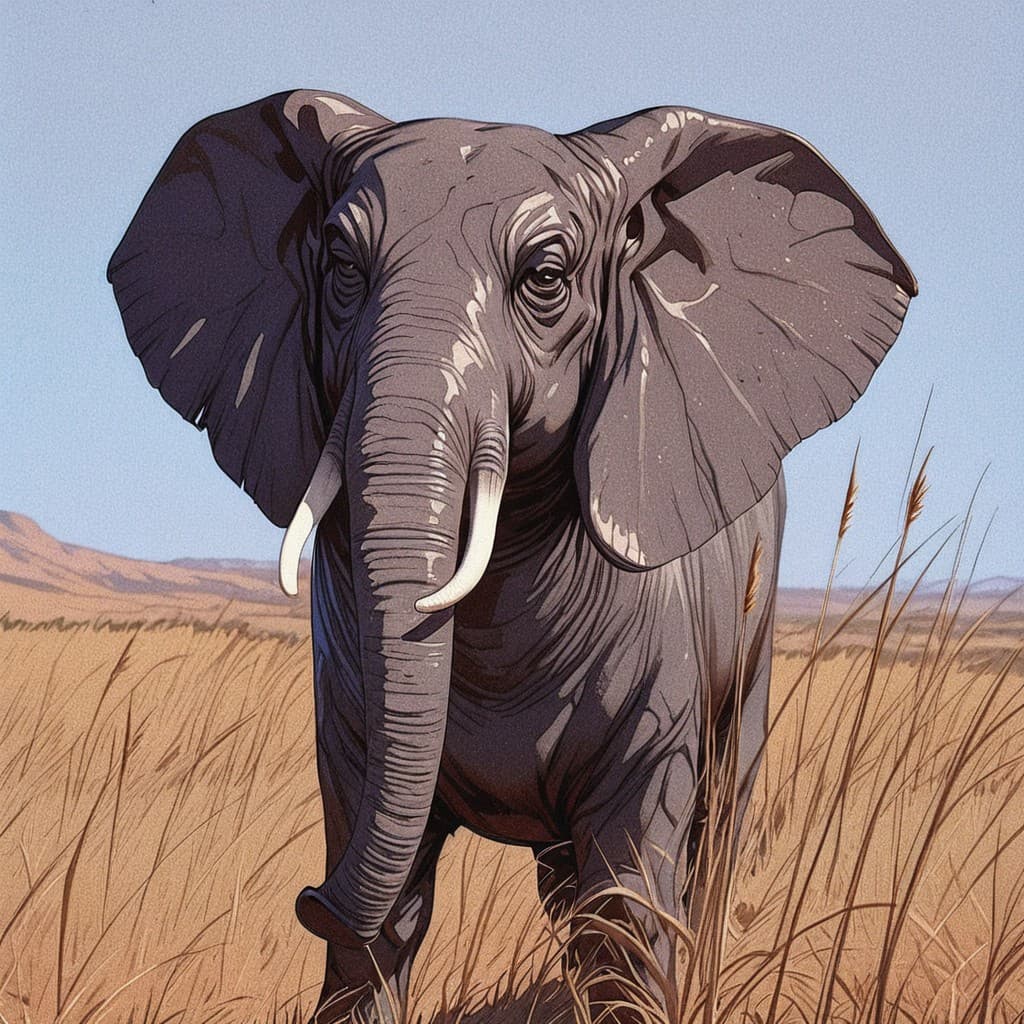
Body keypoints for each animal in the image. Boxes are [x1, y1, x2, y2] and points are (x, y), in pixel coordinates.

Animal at [108, 90, 915, 1022]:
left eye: (546, 278)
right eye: (341, 265)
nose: (308, 898)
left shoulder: (657, 692)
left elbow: (627, 908)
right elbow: (380, 917)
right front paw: (367, 925)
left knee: (711, 829)